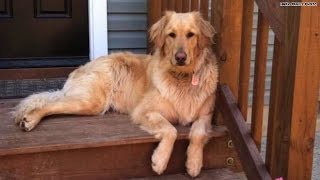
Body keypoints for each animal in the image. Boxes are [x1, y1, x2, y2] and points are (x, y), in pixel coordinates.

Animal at [14, 11, 218, 177]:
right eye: (171, 35)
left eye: (191, 35)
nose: (180, 58)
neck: (183, 77)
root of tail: (85, 65)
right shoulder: (143, 111)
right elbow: (171, 130)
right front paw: (160, 160)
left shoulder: (206, 115)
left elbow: (198, 133)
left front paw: (194, 163)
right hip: (92, 101)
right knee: (50, 104)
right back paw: (30, 119)